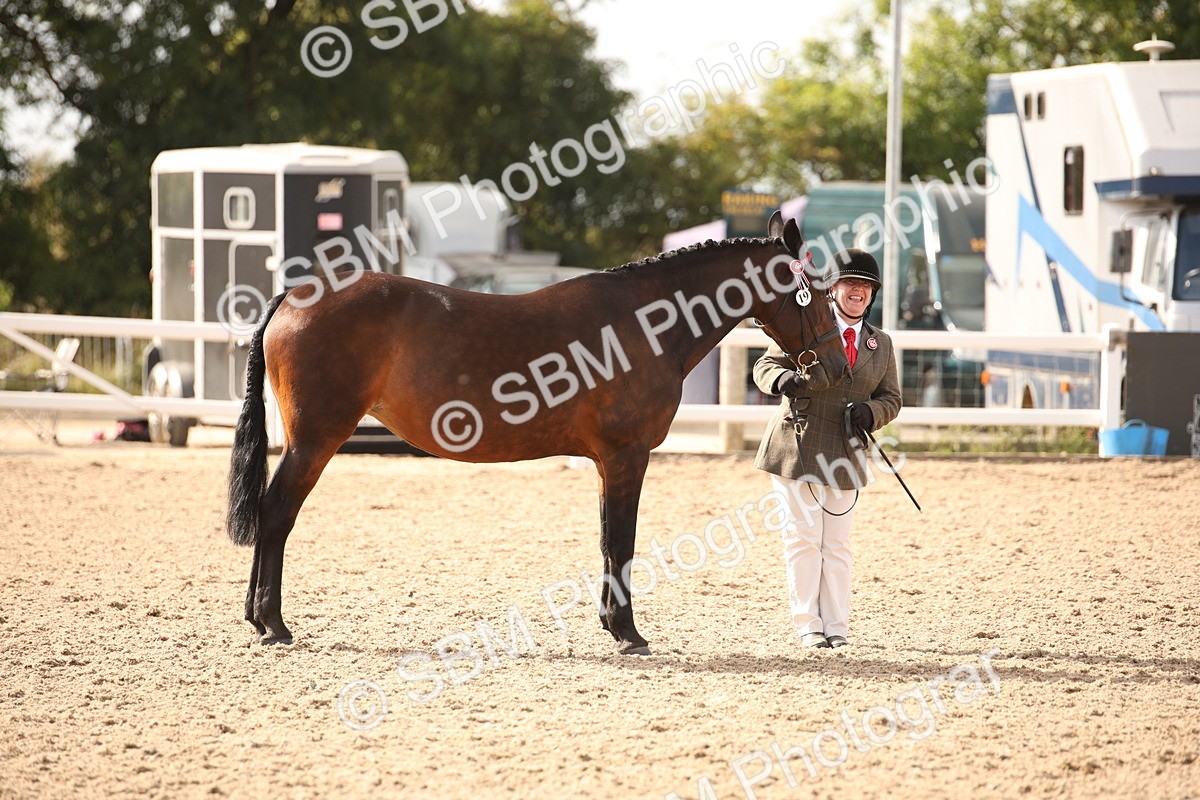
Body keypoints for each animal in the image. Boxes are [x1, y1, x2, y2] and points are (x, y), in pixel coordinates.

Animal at [226, 211, 847, 654]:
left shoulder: (606, 462)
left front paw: (613, 625)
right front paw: (629, 634)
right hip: (315, 440)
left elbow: (607, 540)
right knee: (276, 513)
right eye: (815, 290)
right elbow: (621, 541)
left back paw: (259, 620)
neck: (644, 323)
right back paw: (273, 623)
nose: (838, 364)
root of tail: (295, 296)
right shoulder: (627, 456)